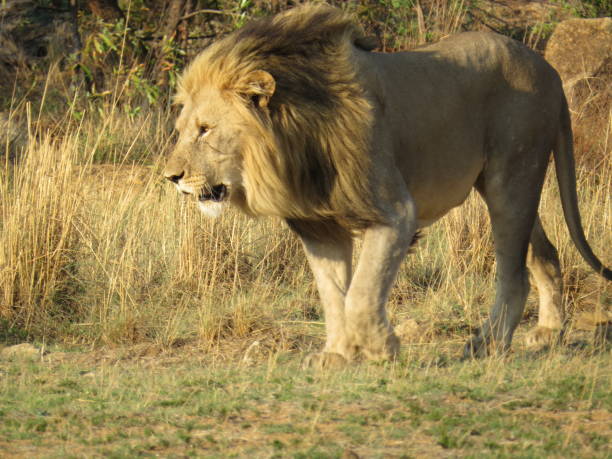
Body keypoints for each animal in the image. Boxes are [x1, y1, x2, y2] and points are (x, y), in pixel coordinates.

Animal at [165, 3, 608, 366]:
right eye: (182, 130)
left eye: (206, 130)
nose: (171, 177)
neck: (294, 144)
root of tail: (548, 69)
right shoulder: (319, 226)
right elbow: (334, 295)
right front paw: (337, 354)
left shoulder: (394, 212)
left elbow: (361, 293)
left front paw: (382, 347)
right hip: (510, 188)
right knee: (545, 253)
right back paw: (549, 332)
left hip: (513, 175)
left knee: (513, 274)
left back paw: (487, 343)